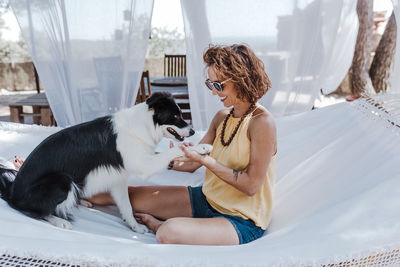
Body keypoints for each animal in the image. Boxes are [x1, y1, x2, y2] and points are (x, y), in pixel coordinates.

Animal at [0, 93, 212, 233]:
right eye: (175, 116)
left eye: (181, 114)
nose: (193, 132)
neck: (144, 124)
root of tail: (12, 190)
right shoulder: (142, 165)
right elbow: (176, 149)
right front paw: (202, 148)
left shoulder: (119, 178)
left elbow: (126, 205)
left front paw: (135, 226)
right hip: (62, 181)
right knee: (33, 210)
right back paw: (59, 220)